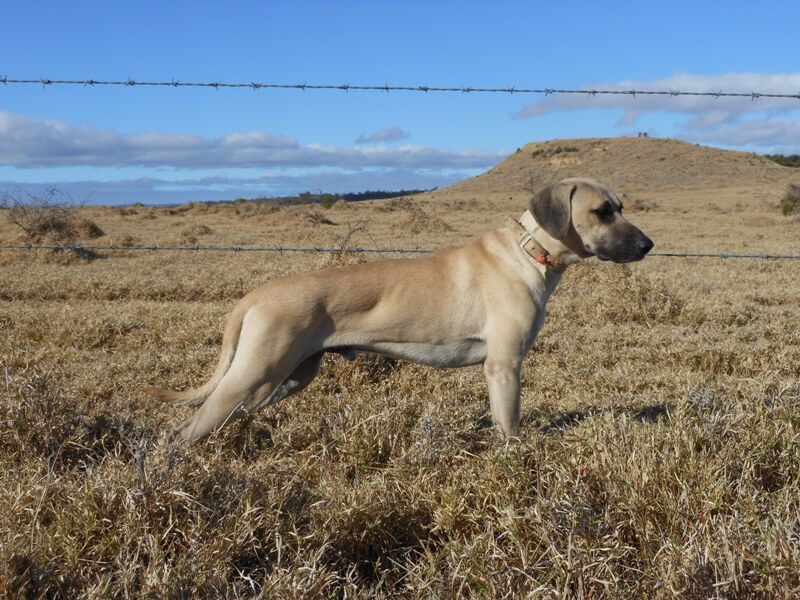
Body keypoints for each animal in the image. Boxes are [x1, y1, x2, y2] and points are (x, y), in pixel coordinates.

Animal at [147, 177, 652, 440]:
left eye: (621, 206)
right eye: (602, 211)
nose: (647, 245)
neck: (529, 252)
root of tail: (253, 296)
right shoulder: (504, 367)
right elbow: (510, 427)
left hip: (285, 379)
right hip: (255, 375)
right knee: (186, 431)